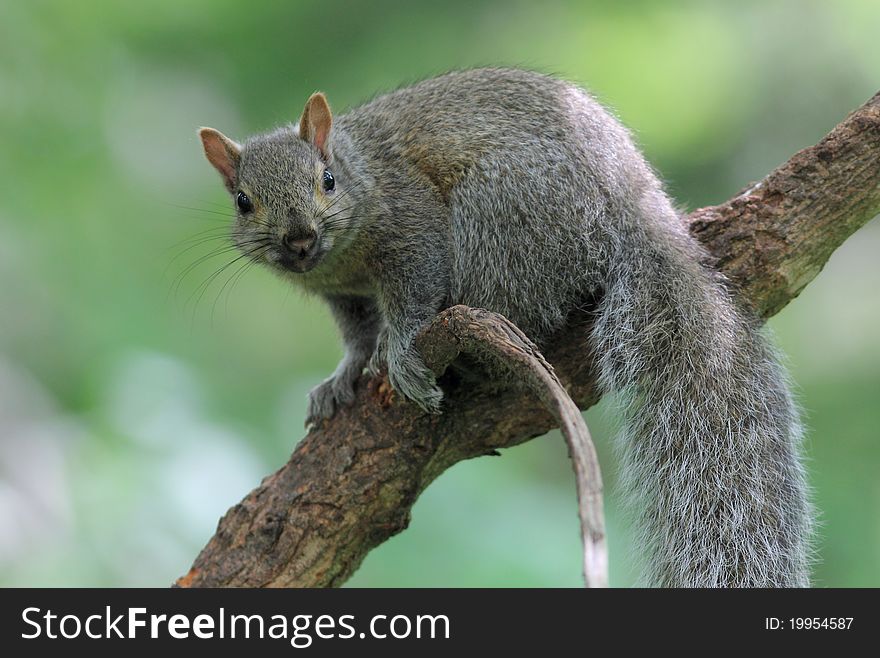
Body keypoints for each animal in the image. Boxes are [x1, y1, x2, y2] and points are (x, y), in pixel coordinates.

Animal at [199, 69, 812, 588]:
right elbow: (355, 335)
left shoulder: (411, 223)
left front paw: (400, 350)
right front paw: (341, 377)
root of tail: (633, 205)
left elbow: (414, 290)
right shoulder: (342, 293)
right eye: (243, 201)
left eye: (326, 180)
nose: (299, 240)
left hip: (499, 215)